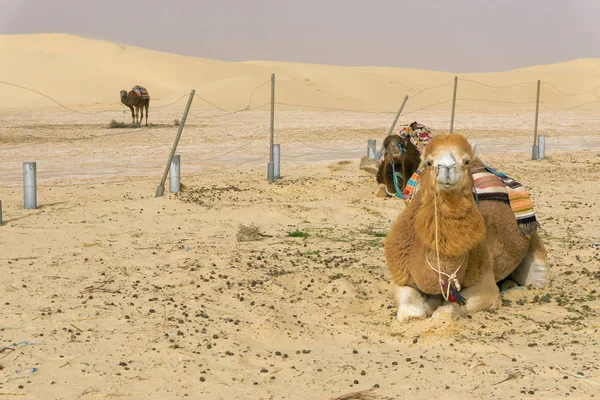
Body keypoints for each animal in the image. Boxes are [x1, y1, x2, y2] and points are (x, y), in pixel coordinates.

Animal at [384, 134, 548, 322]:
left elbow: (445, 312)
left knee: (538, 277)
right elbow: (410, 311)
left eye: (466, 161)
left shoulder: (485, 282)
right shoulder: (401, 272)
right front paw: (427, 304)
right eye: (429, 162)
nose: (447, 169)